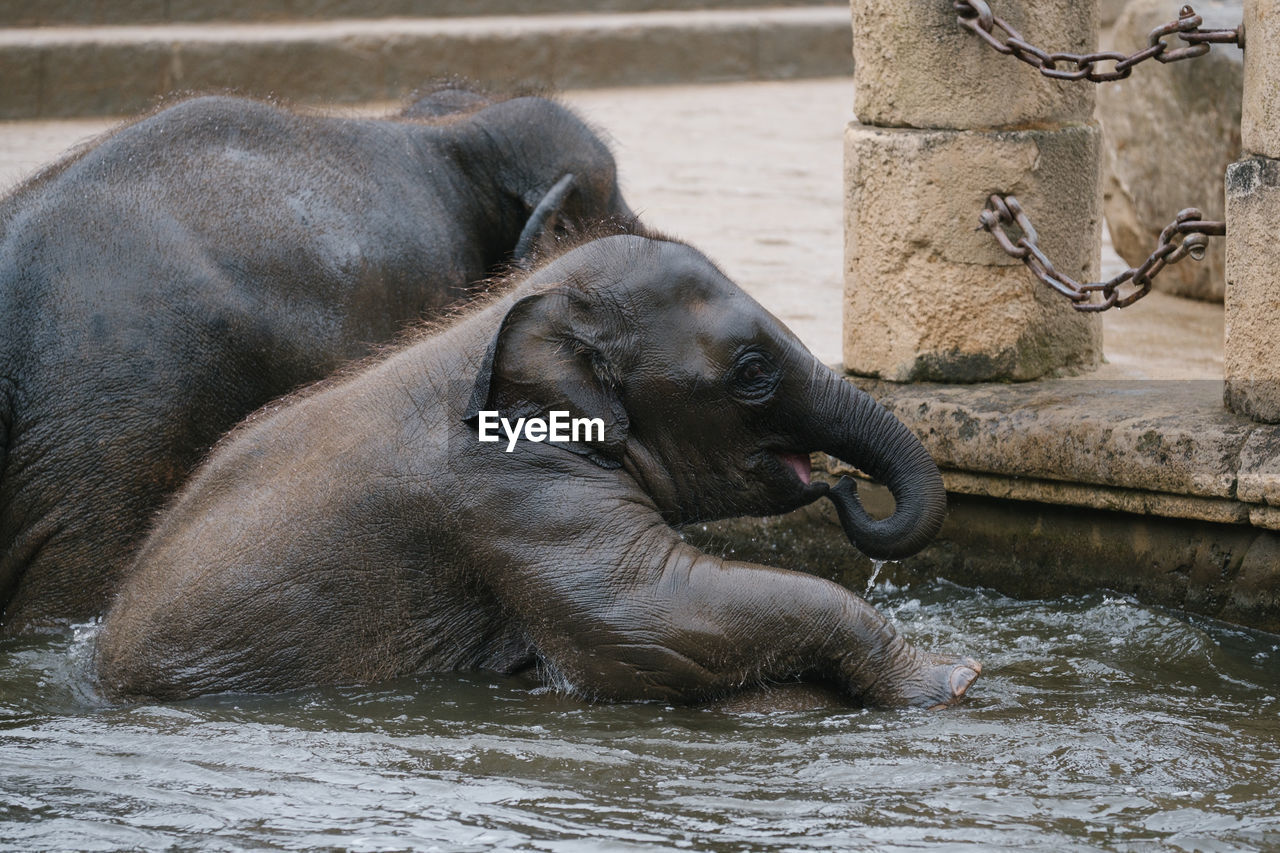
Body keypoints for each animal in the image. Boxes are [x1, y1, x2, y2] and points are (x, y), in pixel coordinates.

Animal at [97, 233, 977, 701]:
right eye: (752, 371)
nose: (841, 484)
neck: (513, 309)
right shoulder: (514, 494)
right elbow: (651, 621)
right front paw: (953, 680)